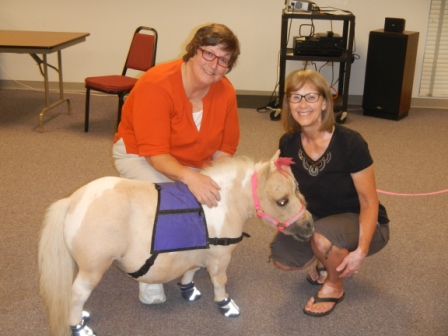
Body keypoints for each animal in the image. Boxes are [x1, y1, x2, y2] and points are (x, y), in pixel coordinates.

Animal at [38, 151, 314, 334]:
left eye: (298, 188)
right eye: (281, 200)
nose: (310, 225)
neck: (222, 203)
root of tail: (73, 200)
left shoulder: (196, 250)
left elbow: (190, 271)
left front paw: (189, 291)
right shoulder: (220, 257)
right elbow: (220, 282)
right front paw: (225, 305)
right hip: (93, 269)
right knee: (77, 293)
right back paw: (78, 325)